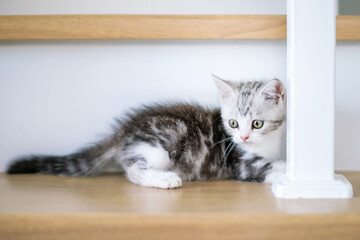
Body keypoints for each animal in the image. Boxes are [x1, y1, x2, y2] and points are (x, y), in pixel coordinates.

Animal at [6, 77, 286, 189]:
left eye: (257, 124)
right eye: (233, 124)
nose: (244, 138)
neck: (267, 144)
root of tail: (125, 130)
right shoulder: (239, 163)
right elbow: (265, 168)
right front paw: (285, 169)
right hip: (163, 143)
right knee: (133, 170)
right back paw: (165, 179)